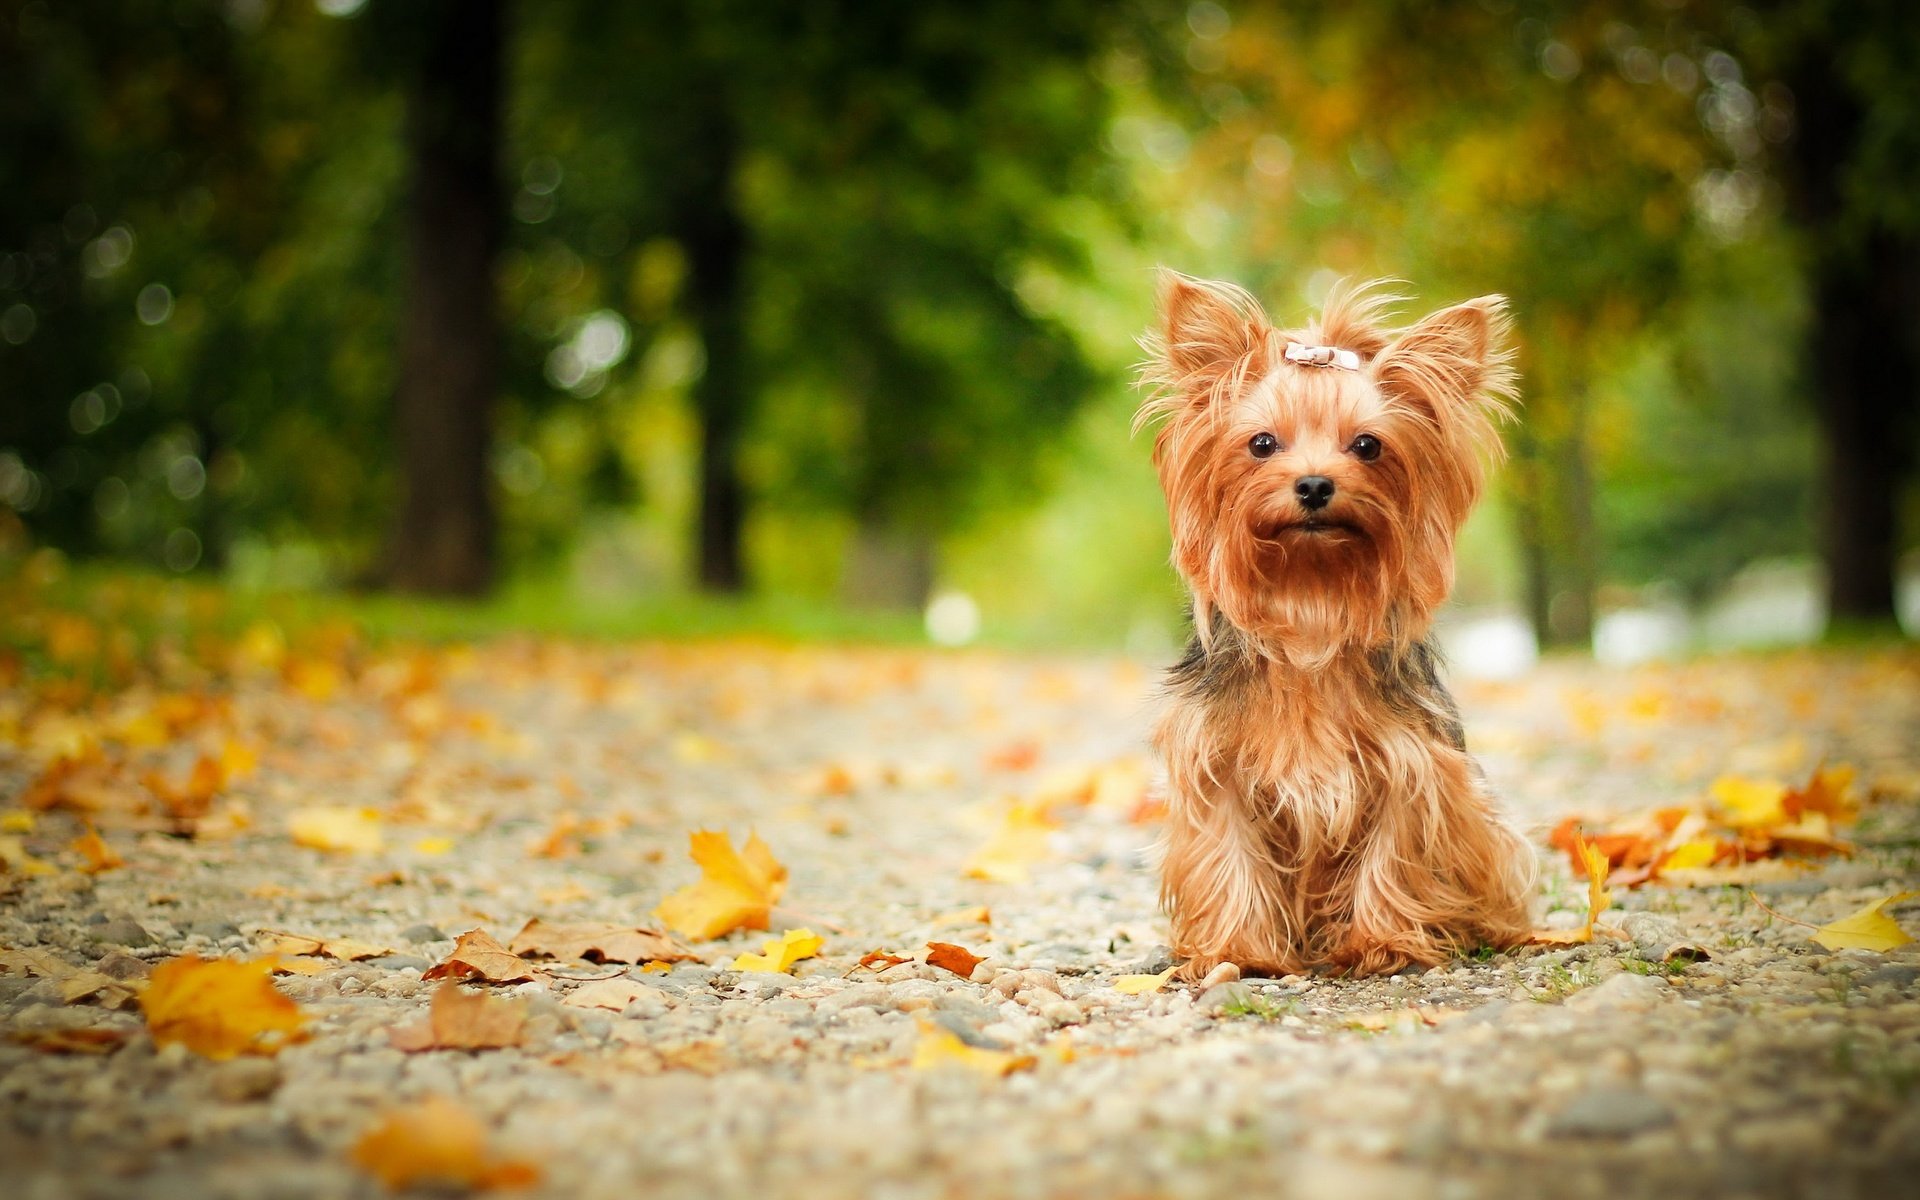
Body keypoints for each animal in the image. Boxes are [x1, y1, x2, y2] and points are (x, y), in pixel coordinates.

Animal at [1136, 268, 1528, 975]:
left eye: (1367, 445)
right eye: (1262, 443)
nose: (1316, 484)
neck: (1309, 603)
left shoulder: (1411, 766)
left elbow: (1393, 850)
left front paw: (1381, 943)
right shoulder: (1216, 767)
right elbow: (1229, 853)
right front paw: (1238, 951)